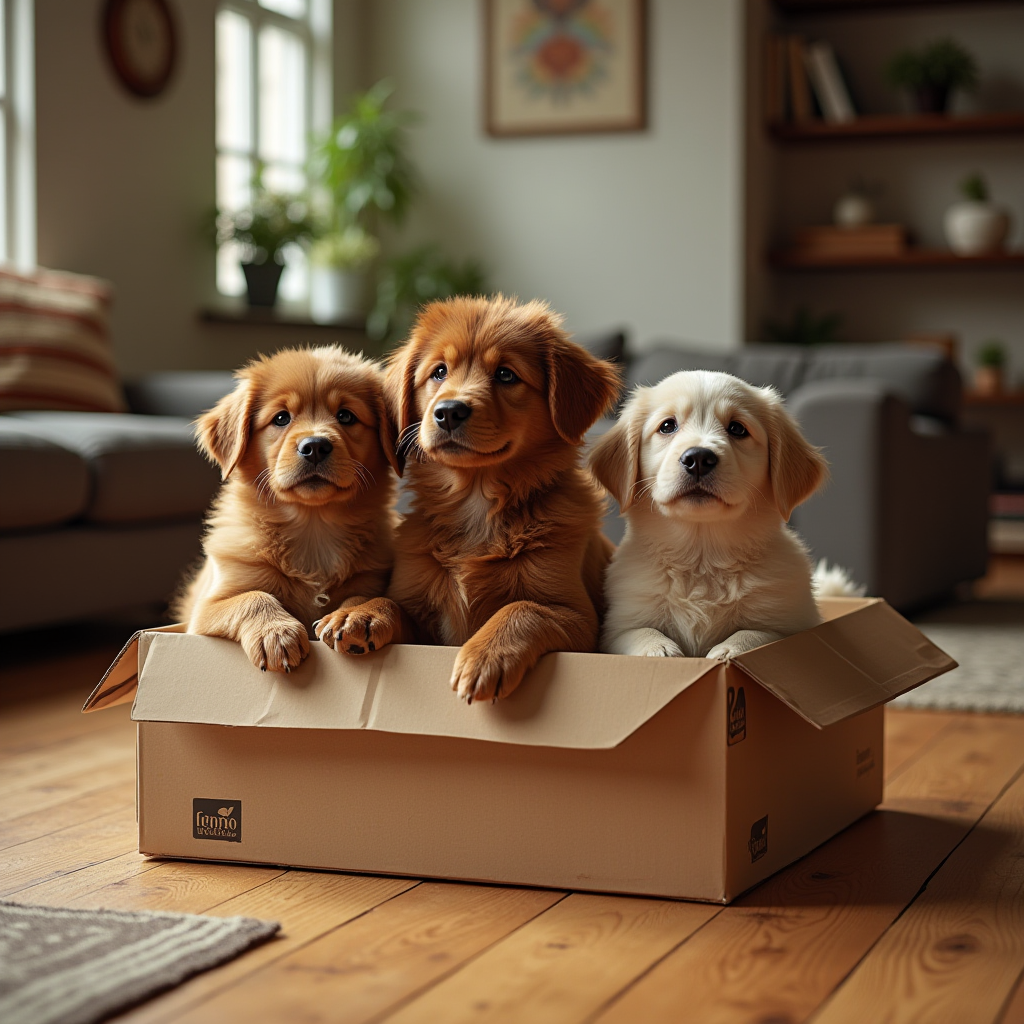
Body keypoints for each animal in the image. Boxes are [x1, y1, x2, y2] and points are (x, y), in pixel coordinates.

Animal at [174, 348, 397, 675]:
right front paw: (275, 633)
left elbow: (377, 597)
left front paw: (359, 614)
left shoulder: (373, 577)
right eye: (281, 418)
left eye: (346, 416)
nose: (315, 446)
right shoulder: (204, 612)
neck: (314, 527)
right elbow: (253, 597)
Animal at [321, 292, 622, 700]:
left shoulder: (578, 619)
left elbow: (523, 608)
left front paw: (486, 655)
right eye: (439, 372)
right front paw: (361, 612)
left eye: (506, 375)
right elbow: (391, 601)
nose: (448, 412)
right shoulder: (421, 619)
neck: (476, 500)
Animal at [589, 372, 827, 659]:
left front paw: (728, 652)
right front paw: (659, 650)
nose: (699, 458)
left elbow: (757, 635)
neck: (702, 557)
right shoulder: (620, 626)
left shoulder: (793, 625)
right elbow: (640, 633)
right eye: (667, 426)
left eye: (737, 429)